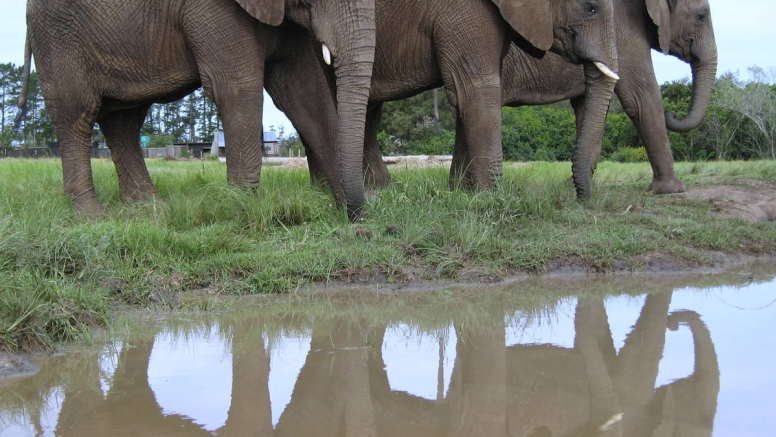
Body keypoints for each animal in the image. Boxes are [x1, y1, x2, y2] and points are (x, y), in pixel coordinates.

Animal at [14, 0, 372, 216]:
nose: (355, 215)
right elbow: (236, 86)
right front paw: (245, 213)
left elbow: (306, 90)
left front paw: (354, 210)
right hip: (57, 35)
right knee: (77, 114)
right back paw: (94, 217)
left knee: (123, 120)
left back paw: (150, 211)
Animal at [360, 0, 720, 196]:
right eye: (701, 17)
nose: (584, 202)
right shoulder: (626, 31)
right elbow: (641, 97)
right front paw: (671, 191)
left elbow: (588, 104)